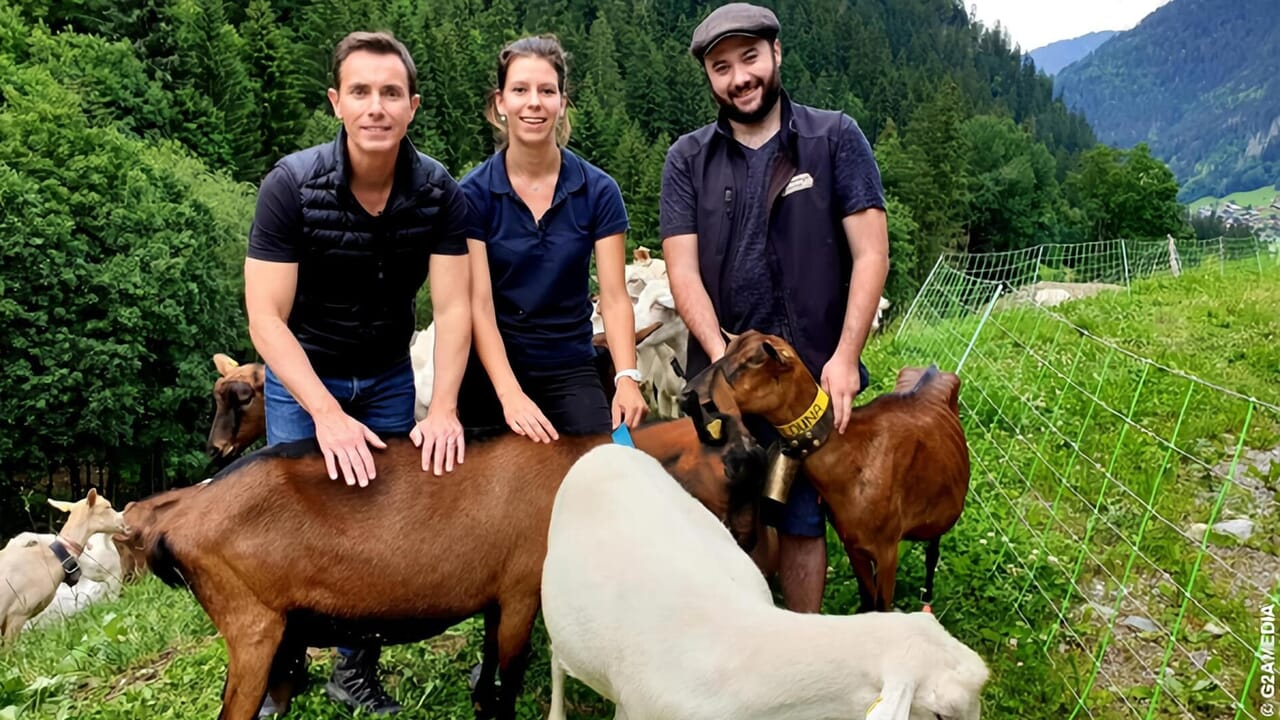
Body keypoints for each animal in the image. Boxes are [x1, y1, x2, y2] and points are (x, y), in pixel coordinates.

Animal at [124, 400, 768, 720]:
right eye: (737, 464)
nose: (750, 543)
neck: (581, 462)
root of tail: (179, 514)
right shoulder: (520, 593)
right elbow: (506, 685)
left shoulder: (494, 597)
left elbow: (486, 687)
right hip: (250, 624)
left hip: (279, 630)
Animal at [685, 330, 971, 613]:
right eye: (726, 351)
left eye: (751, 361)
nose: (687, 394)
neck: (853, 450)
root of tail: (933, 369)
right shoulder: (853, 543)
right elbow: (867, 599)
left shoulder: (888, 549)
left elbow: (881, 605)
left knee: (932, 553)